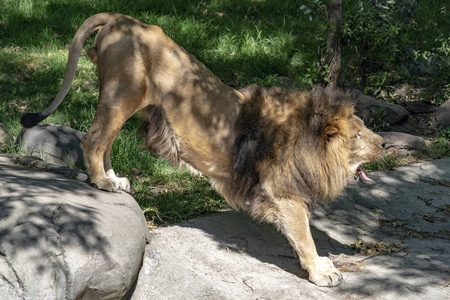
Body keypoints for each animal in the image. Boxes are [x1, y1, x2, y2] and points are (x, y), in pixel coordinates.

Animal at [21, 12, 384, 288]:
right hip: (123, 92)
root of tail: (120, 18)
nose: (384, 143)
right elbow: (305, 237)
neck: (309, 144)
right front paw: (322, 272)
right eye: (358, 135)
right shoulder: (283, 194)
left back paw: (114, 180)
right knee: (92, 138)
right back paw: (102, 182)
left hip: (125, 99)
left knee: (104, 141)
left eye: (365, 129)